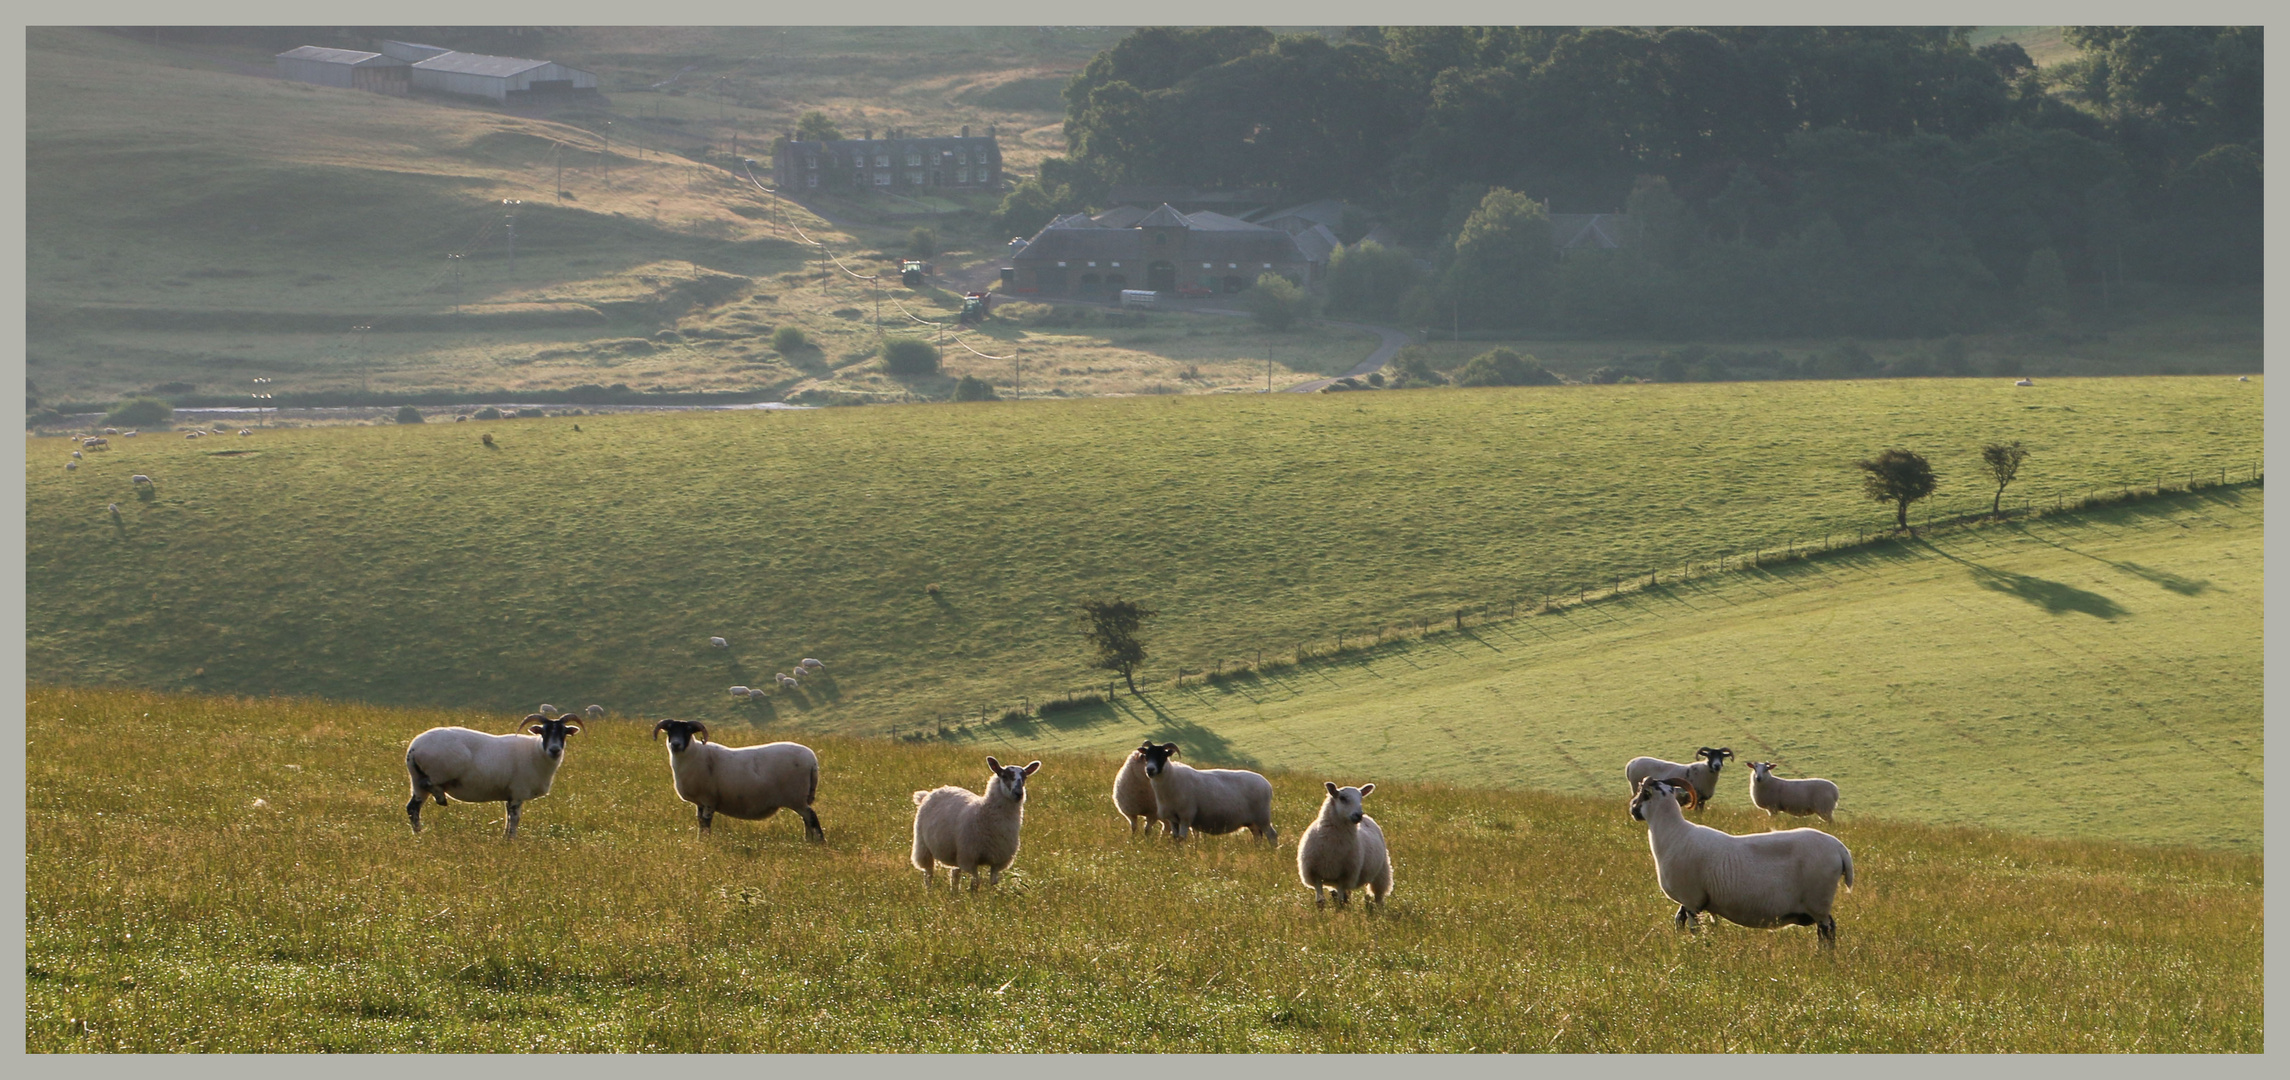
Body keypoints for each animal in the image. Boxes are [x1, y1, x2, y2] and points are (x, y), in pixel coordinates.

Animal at [405, 713, 581, 837]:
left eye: (564, 733)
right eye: (544, 732)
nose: (555, 750)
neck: (536, 752)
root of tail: (413, 749)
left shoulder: (510, 795)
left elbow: (508, 817)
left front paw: (506, 838)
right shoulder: (518, 792)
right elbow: (515, 818)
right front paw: (512, 840)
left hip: (415, 780)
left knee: (413, 808)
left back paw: (418, 834)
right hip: (439, 772)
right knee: (428, 785)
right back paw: (440, 798)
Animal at [654, 718, 824, 842]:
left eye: (688, 730)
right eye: (670, 730)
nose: (675, 744)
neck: (695, 754)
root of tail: (813, 761)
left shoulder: (709, 800)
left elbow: (706, 824)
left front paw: (706, 843)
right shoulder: (700, 803)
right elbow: (700, 824)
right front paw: (700, 842)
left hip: (796, 796)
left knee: (811, 817)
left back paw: (820, 842)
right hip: (799, 799)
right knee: (806, 819)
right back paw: (808, 842)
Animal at [911, 755, 1039, 892]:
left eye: (1025, 777)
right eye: (1004, 776)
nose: (1019, 794)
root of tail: (930, 793)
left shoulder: (997, 859)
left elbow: (993, 882)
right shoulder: (970, 858)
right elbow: (975, 884)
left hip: (957, 852)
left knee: (955, 875)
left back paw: (954, 894)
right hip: (924, 847)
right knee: (928, 874)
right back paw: (929, 892)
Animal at [1135, 741, 1282, 842]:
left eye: (1162, 756)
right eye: (1146, 756)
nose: (1150, 770)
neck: (1171, 778)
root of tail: (1267, 785)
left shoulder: (1186, 816)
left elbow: (1182, 839)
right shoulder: (1172, 818)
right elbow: (1175, 838)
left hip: (1262, 816)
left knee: (1272, 835)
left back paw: (1272, 854)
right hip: (1252, 821)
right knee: (1258, 836)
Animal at [1621, 782, 1850, 947]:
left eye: (1642, 793)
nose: (1632, 809)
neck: (1672, 833)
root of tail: (1840, 848)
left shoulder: (1691, 898)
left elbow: (1692, 928)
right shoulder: (1693, 901)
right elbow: (1679, 921)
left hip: (1818, 901)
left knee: (1827, 931)